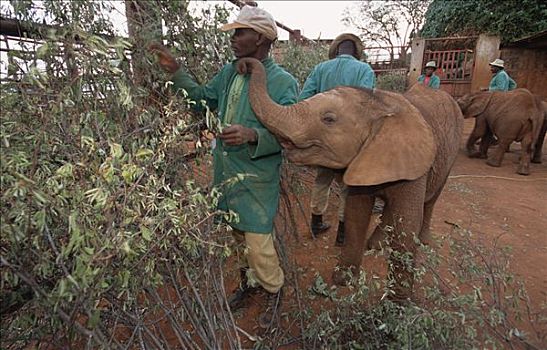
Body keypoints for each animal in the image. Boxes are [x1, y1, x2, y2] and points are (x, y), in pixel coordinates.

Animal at [238, 58, 464, 300]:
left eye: (328, 119)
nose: (244, 64)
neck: (381, 104)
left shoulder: (415, 164)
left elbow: (406, 226)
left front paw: (397, 303)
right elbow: (356, 213)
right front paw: (343, 279)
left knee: (432, 198)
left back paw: (422, 240)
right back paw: (375, 244)